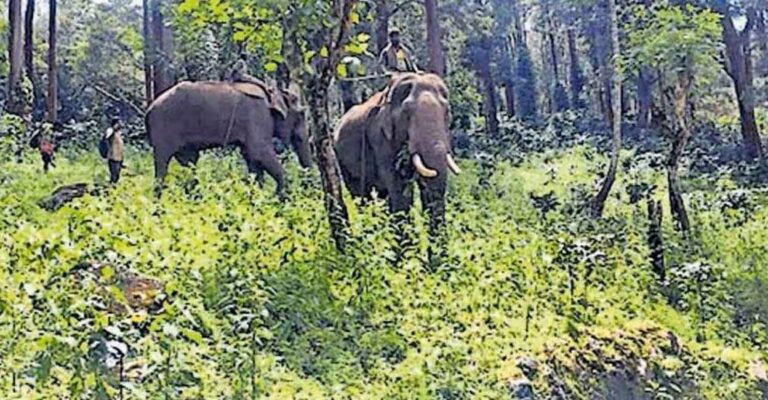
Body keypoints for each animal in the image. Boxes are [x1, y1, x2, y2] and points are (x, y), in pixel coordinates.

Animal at [145, 81, 312, 195]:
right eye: (301, 115)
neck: (271, 92)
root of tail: (149, 109)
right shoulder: (258, 116)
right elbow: (259, 153)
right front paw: (280, 200)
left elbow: (252, 160)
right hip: (164, 129)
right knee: (162, 167)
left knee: (190, 164)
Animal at [333, 73, 461, 232]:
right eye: (406, 113)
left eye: (447, 112)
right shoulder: (380, 137)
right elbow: (399, 189)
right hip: (342, 161)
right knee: (362, 195)